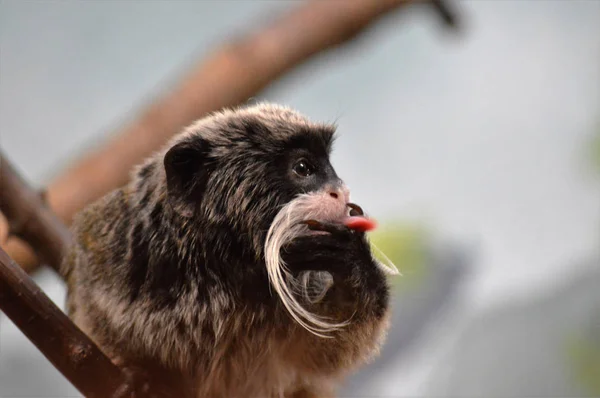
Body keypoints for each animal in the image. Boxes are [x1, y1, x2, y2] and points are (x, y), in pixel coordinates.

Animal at [62, 103, 394, 398]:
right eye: (304, 168)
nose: (341, 191)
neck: (220, 263)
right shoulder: (114, 249)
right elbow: (94, 308)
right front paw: (137, 372)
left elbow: (319, 354)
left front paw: (350, 260)